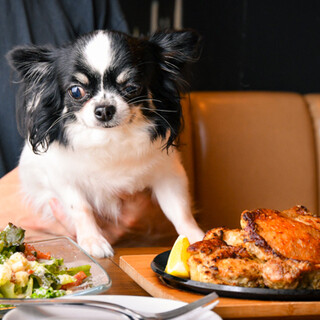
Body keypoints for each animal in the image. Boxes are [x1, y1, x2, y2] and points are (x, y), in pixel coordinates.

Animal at [7, 28, 204, 256]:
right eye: (76, 91)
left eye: (132, 88)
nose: (104, 109)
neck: (110, 139)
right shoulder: (62, 179)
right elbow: (80, 207)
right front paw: (93, 240)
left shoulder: (169, 174)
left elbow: (179, 209)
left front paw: (197, 236)